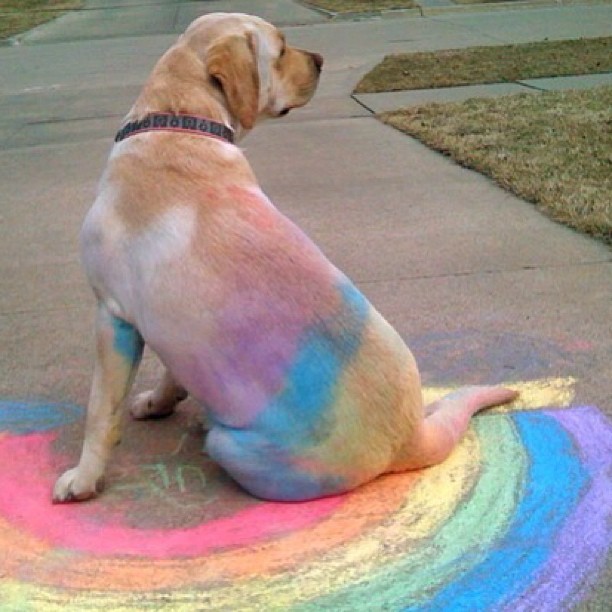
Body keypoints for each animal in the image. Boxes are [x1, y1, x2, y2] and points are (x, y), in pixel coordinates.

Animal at [53, 12, 518, 503]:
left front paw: (83, 478)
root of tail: (410, 436)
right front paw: (158, 402)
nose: (321, 59)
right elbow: (172, 373)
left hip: (232, 445)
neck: (180, 121)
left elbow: (100, 412)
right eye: (279, 51)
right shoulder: (166, 329)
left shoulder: (112, 316)